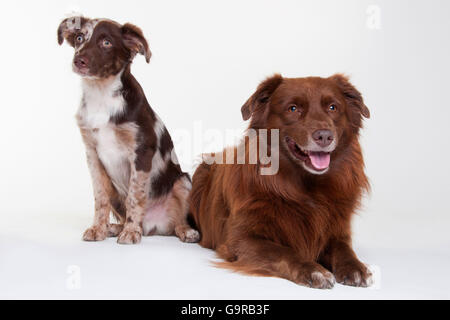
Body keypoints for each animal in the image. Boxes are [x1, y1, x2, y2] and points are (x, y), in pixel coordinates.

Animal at [57, 16, 199, 244]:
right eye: (79, 38)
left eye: (106, 43)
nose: (79, 61)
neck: (102, 94)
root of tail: (152, 228)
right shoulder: (92, 155)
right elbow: (100, 198)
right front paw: (98, 228)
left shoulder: (141, 152)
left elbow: (135, 195)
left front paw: (132, 231)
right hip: (116, 192)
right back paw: (114, 227)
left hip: (183, 181)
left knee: (178, 221)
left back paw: (184, 231)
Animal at [190, 74, 372, 288]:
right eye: (293, 108)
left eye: (333, 107)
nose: (324, 136)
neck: (307, 187)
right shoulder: (239, 239)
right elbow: (283, 252)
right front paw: (314, 270)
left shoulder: (338, 229)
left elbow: (344, 249)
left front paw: (355, 267)